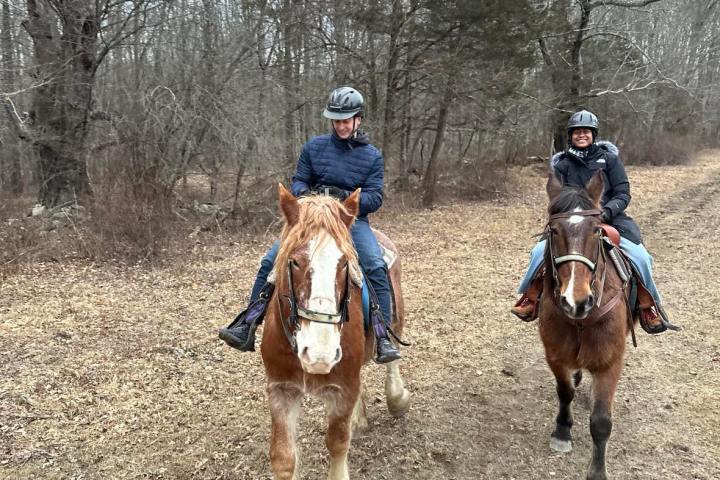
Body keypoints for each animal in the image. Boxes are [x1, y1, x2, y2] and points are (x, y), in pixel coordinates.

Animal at [259, 184, 411, 480]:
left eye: (344, 263)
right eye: (294, 262)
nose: (320, 355)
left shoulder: (344, 387)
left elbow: (338, 442)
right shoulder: (281, 389)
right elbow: (283, 458)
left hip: (396, 322)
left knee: (392, 358)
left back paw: (397, 399)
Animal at [538, 171, 635, 480]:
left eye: (596, 230)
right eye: (554, 231)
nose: (576, 300)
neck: (582, 320)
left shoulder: (611, 362)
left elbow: (602, 421)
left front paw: (597, 471)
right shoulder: (554, 355)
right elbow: (565, 391)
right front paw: (561, 432)